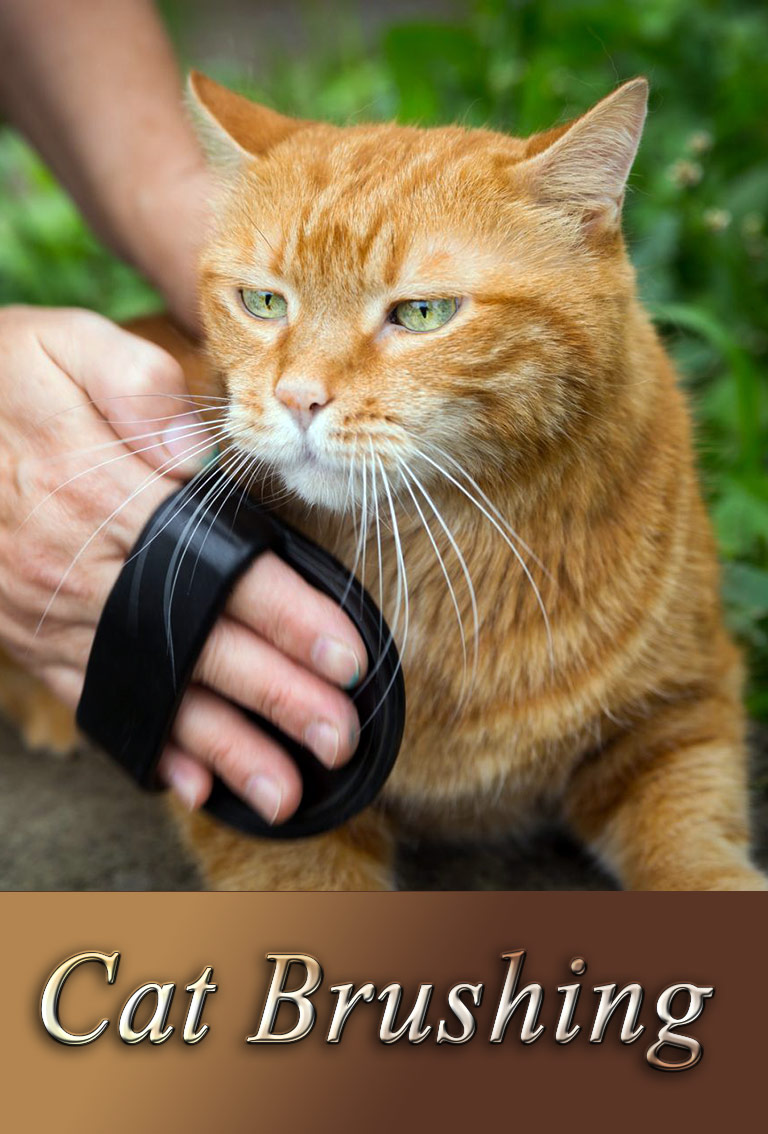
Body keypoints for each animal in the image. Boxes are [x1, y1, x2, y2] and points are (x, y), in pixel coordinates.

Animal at [9, 75, 762, 893]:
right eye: (264, 302)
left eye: (424, 313)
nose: (299, 397)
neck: (441, 559)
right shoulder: (254, 785)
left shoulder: (683, 710)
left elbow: (692, 848)